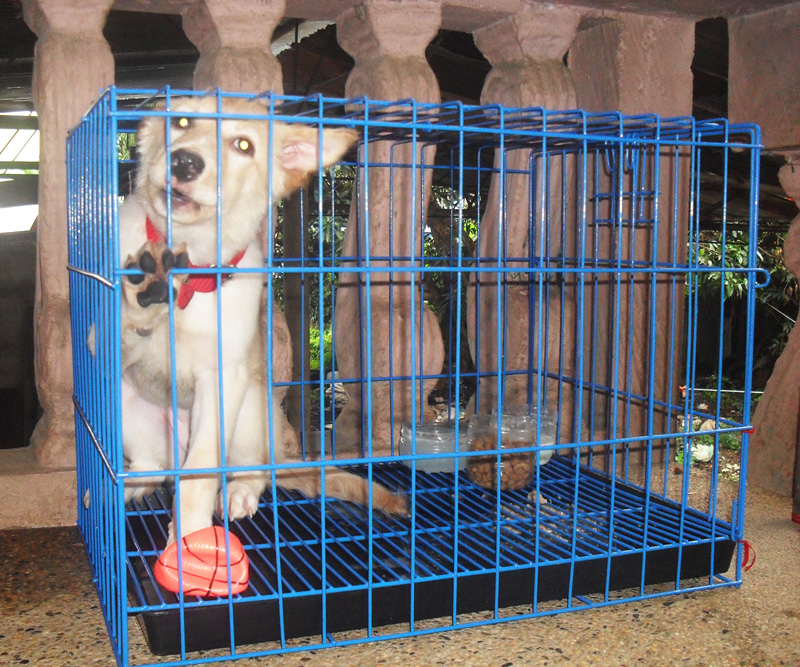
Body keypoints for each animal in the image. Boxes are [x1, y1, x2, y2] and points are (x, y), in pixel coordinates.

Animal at [117, 95, 406, 544]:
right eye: (181, 123)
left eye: (244, 146)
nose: (184, 162)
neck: (190, 267)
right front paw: (143, 294)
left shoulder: (221, 378)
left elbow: (201, 474)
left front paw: (191, 536)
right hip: (126, 403)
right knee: (151, 467)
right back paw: (129, 485)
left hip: (251, 407)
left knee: (251, 473)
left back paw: (239, 491)